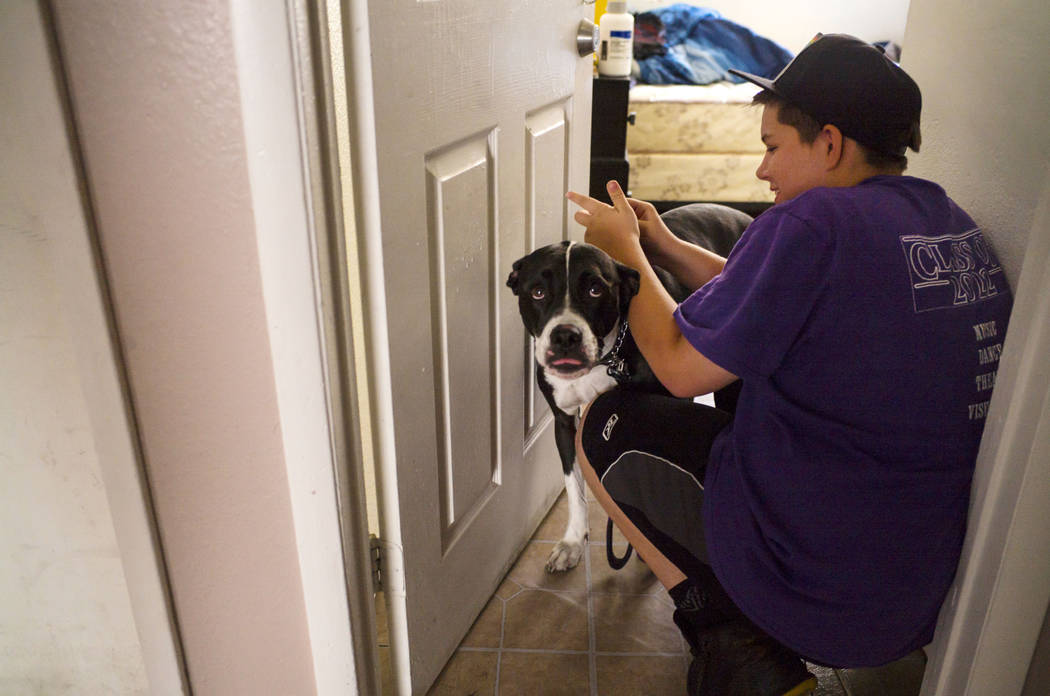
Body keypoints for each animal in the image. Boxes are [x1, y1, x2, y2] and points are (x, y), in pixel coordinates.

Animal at [503, 201, 751, 571]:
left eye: (595, 289)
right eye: (537, 292)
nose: (565, 336)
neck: (606, 358)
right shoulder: (564, 422)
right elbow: (574, 488)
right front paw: (573, 541)